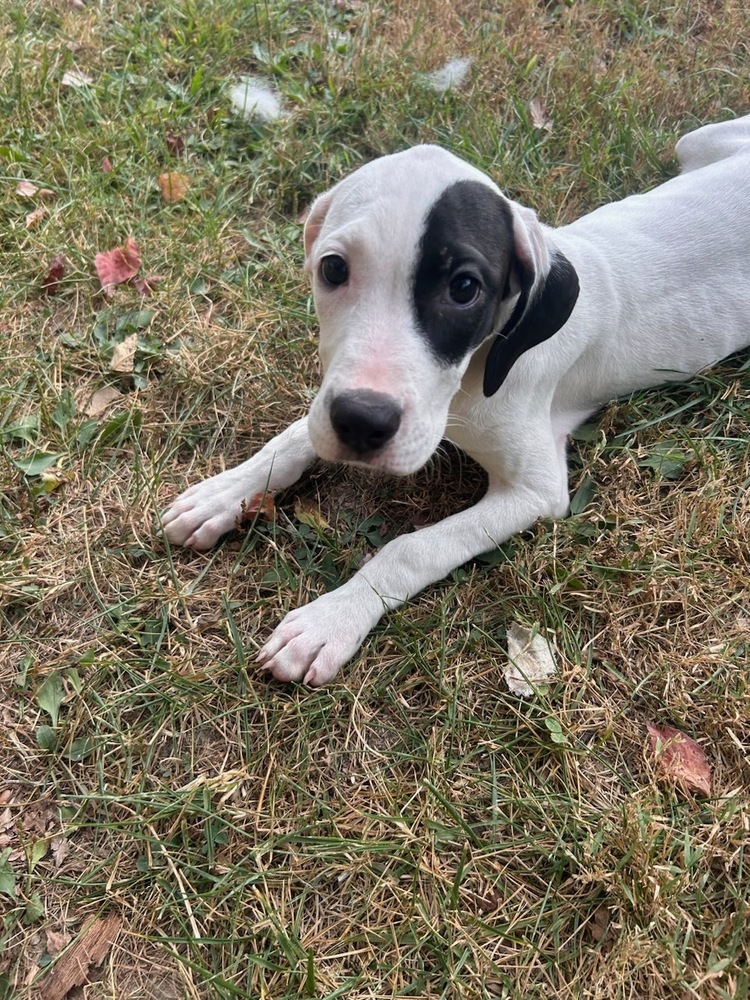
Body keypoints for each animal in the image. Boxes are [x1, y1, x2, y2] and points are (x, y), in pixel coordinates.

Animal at [163, 113, 750, 684]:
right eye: (333, 268)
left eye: (465, 288)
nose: (362, 423)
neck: (472, 376)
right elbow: (291, 439)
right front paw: (223, 493)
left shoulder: (536, 492)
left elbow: (412, 547)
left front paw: (331, 620)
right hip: (696, 140)